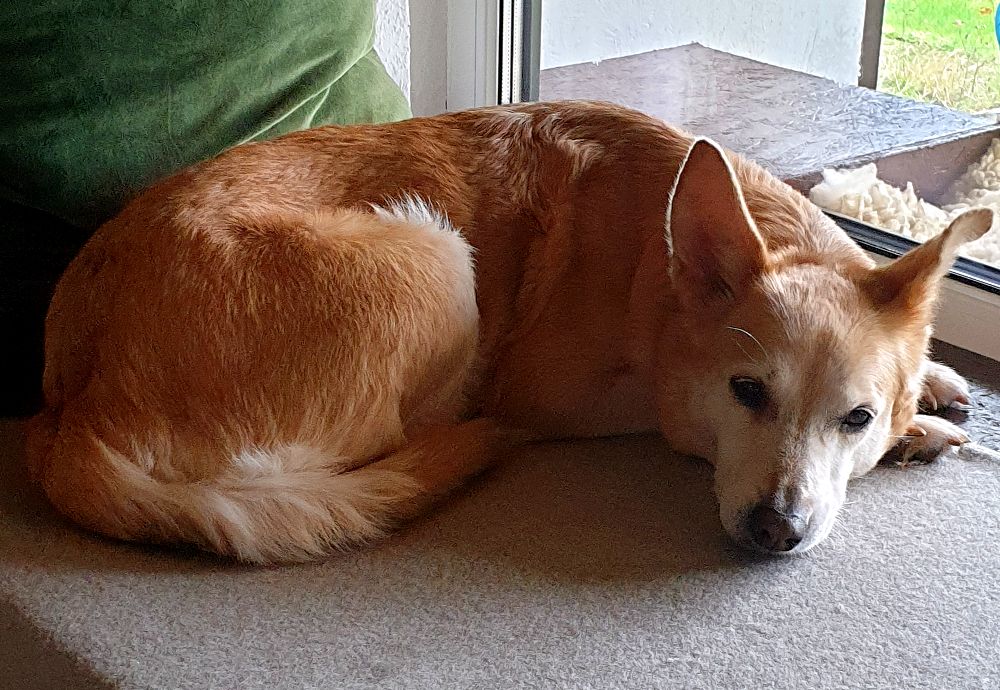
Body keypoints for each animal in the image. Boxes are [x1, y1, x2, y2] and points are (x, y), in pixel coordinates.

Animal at [25, 101, 992, 560]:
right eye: (747, 392)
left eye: (853, 419)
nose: (775, 532)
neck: (656, 268)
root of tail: (71, 413)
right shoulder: (591, 401)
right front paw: (921, 427)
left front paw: (931, 392)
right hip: (433, 259)